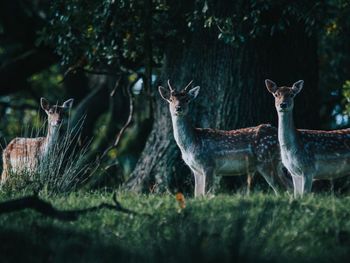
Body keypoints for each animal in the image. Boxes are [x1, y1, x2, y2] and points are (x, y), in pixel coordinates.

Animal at [159, 80, 292, 198]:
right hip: (276, 163)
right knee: (289, 184)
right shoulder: (196, 169)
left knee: (280, 188)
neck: (191, 144)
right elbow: (197, 195)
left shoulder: (208, 164)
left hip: (265, 160)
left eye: (187, 100)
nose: (178, 108)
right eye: (170, 99)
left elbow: (206, 193)